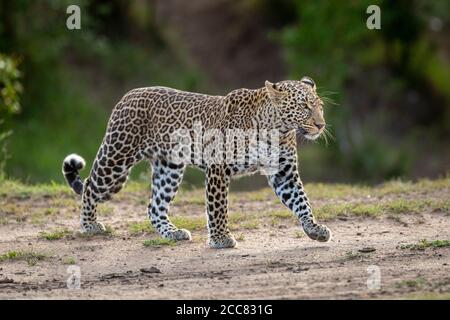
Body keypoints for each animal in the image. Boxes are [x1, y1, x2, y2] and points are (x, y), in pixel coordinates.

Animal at [62, 76, 330, 249]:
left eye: (320, 107)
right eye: (304, 107)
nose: (321, 125)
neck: (276, 128)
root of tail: (128, 95)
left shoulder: (284, 172)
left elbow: (301, 201)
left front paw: (314, 229)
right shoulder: (219, 167)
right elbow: (218, 207)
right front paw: (221, 239)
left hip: (169, 168)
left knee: (155, 206)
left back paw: (173, 233)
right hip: (116, 160)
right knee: (90, 186)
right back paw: (90, 225)